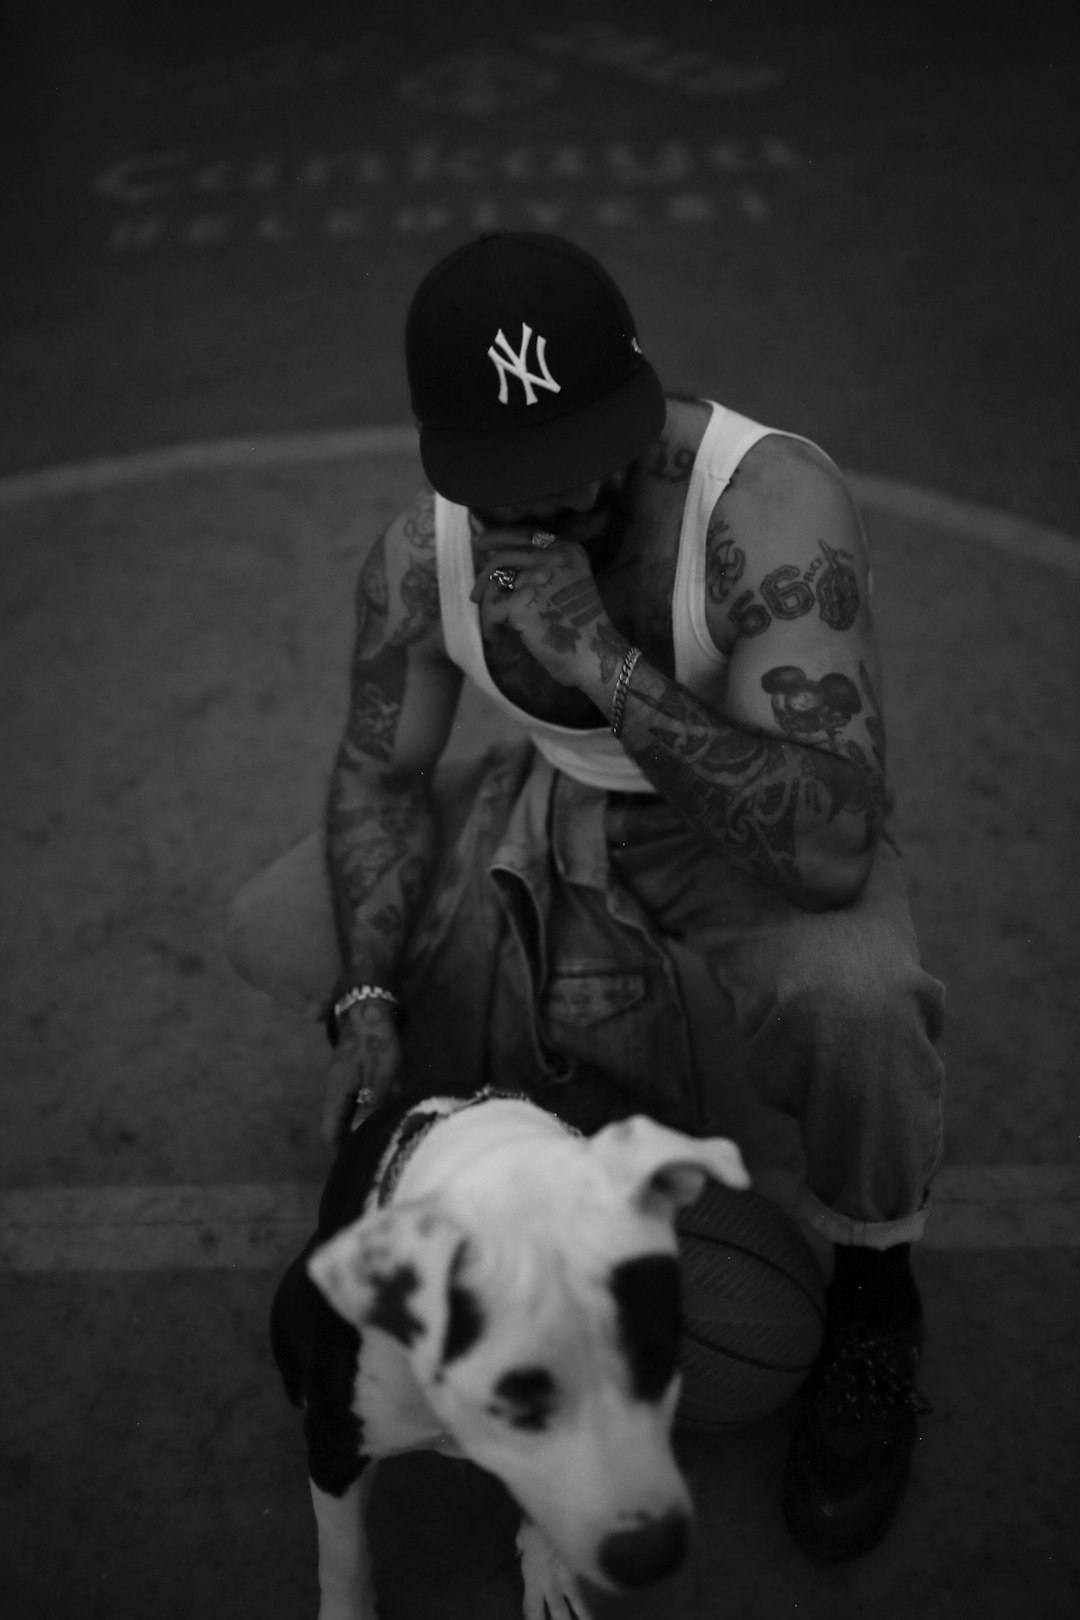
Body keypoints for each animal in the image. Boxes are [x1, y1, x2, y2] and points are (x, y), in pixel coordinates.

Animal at [275, 1088, 751, 1620]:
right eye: (510, 1399)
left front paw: (549, 1577)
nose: (651, 1553)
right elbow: (344, 1553)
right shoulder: (334, 1446)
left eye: (660, 1358)